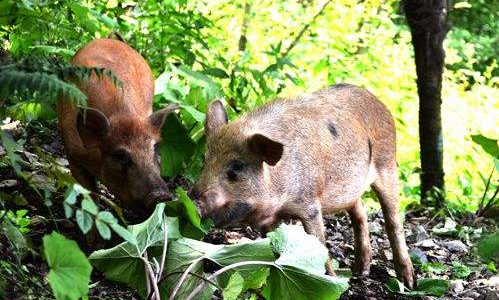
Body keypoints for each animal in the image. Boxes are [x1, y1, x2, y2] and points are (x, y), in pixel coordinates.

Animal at [193, 83, 416, 288]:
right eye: (205, 160)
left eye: (236, 168)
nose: (193, 199)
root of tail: (379, 102)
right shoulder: (271, 220)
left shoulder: (310, 204)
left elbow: (319, 243)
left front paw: (332, 281)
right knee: (359, 213)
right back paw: (360, 272)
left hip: (387, 164)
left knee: (393, 220)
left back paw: (408, 283)